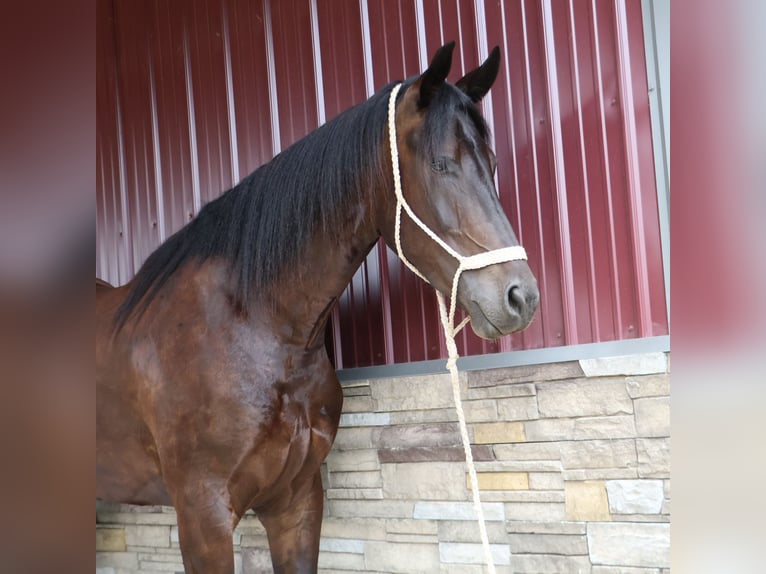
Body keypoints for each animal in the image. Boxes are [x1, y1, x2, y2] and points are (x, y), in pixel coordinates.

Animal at [96, 42, 539, 573]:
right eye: (439, 165)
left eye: (491, 163)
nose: (521, 297)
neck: (257, 328)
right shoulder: (203, 519)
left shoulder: (298, 503)